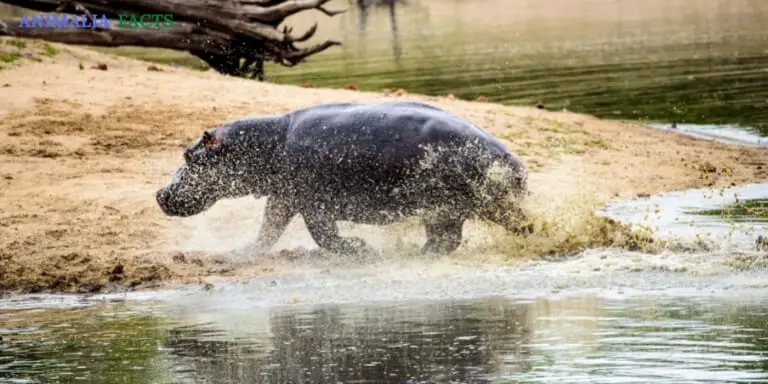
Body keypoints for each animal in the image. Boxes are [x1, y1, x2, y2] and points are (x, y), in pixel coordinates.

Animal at [154, 102, 528, 255]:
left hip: (448, 206)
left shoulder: (309, 201)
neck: (266, 141)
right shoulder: (283, 197)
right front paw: (242, 251)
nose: (159, 193)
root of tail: (511, 160)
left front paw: (360, 249)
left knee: (452, 238)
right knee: (455, 237)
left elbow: (323, 236)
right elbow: (268, 230)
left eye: (188, 156)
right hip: (452, 208)